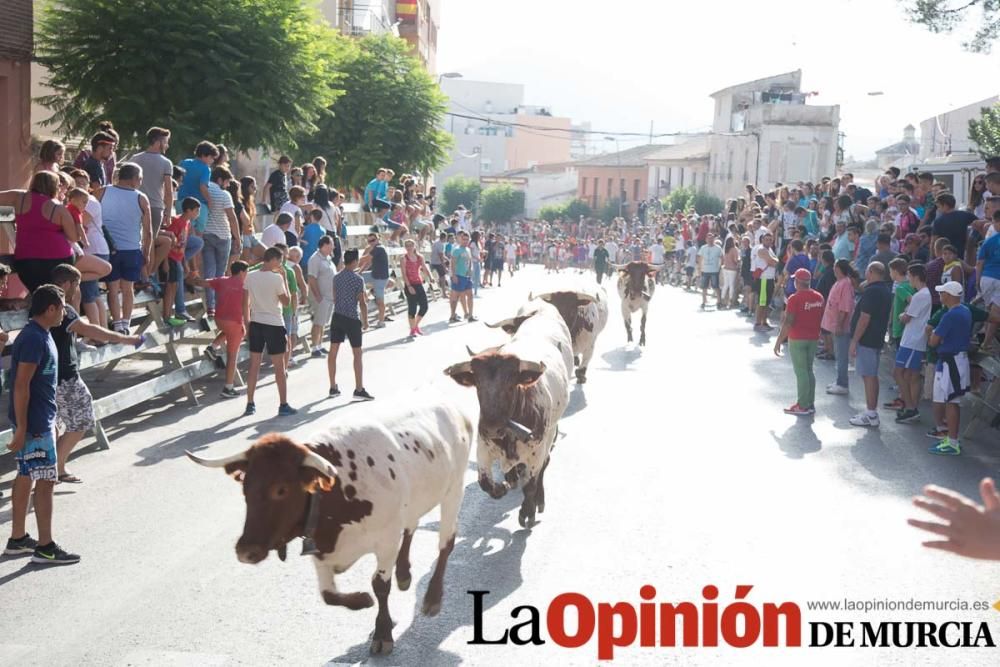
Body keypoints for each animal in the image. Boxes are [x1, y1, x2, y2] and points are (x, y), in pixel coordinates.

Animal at [188, 400, 476, 656]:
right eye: (245, 488)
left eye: (281, 489)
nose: (245, 551)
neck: (334, 496)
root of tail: (453, 409)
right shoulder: (320, 550)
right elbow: (329, 595)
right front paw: (362, 600)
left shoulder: (385, 541)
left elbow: (379, 585)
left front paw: (382, 631)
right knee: (411, 527)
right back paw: (404, 574)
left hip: (454, 491)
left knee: (445, 543)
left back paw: (432, 598)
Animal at [444, 302, 572, 528]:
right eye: (477, 384)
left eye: (512, 383)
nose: (492, 427)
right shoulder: (483, 448)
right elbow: (485, 483)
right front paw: (502, 486)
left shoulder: (536, 452)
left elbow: (530, 484)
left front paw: (527, 512)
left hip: (549, 437)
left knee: (543, 469)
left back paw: (539, 499)